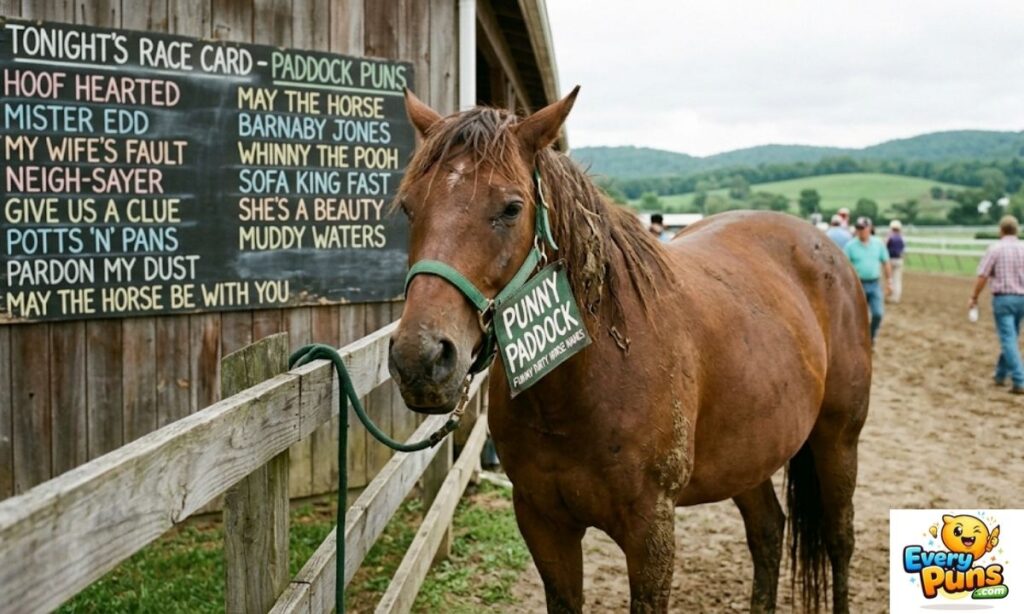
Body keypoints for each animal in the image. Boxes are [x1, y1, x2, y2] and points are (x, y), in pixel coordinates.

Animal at [388, 87, 870, 613]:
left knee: (840, 539)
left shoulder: (650, 534)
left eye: (511, 208)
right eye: (409, 208)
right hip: (749, 456)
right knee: (767, 531)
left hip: (837, 439)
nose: (420, 359)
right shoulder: (543, 523)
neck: (587, 380)